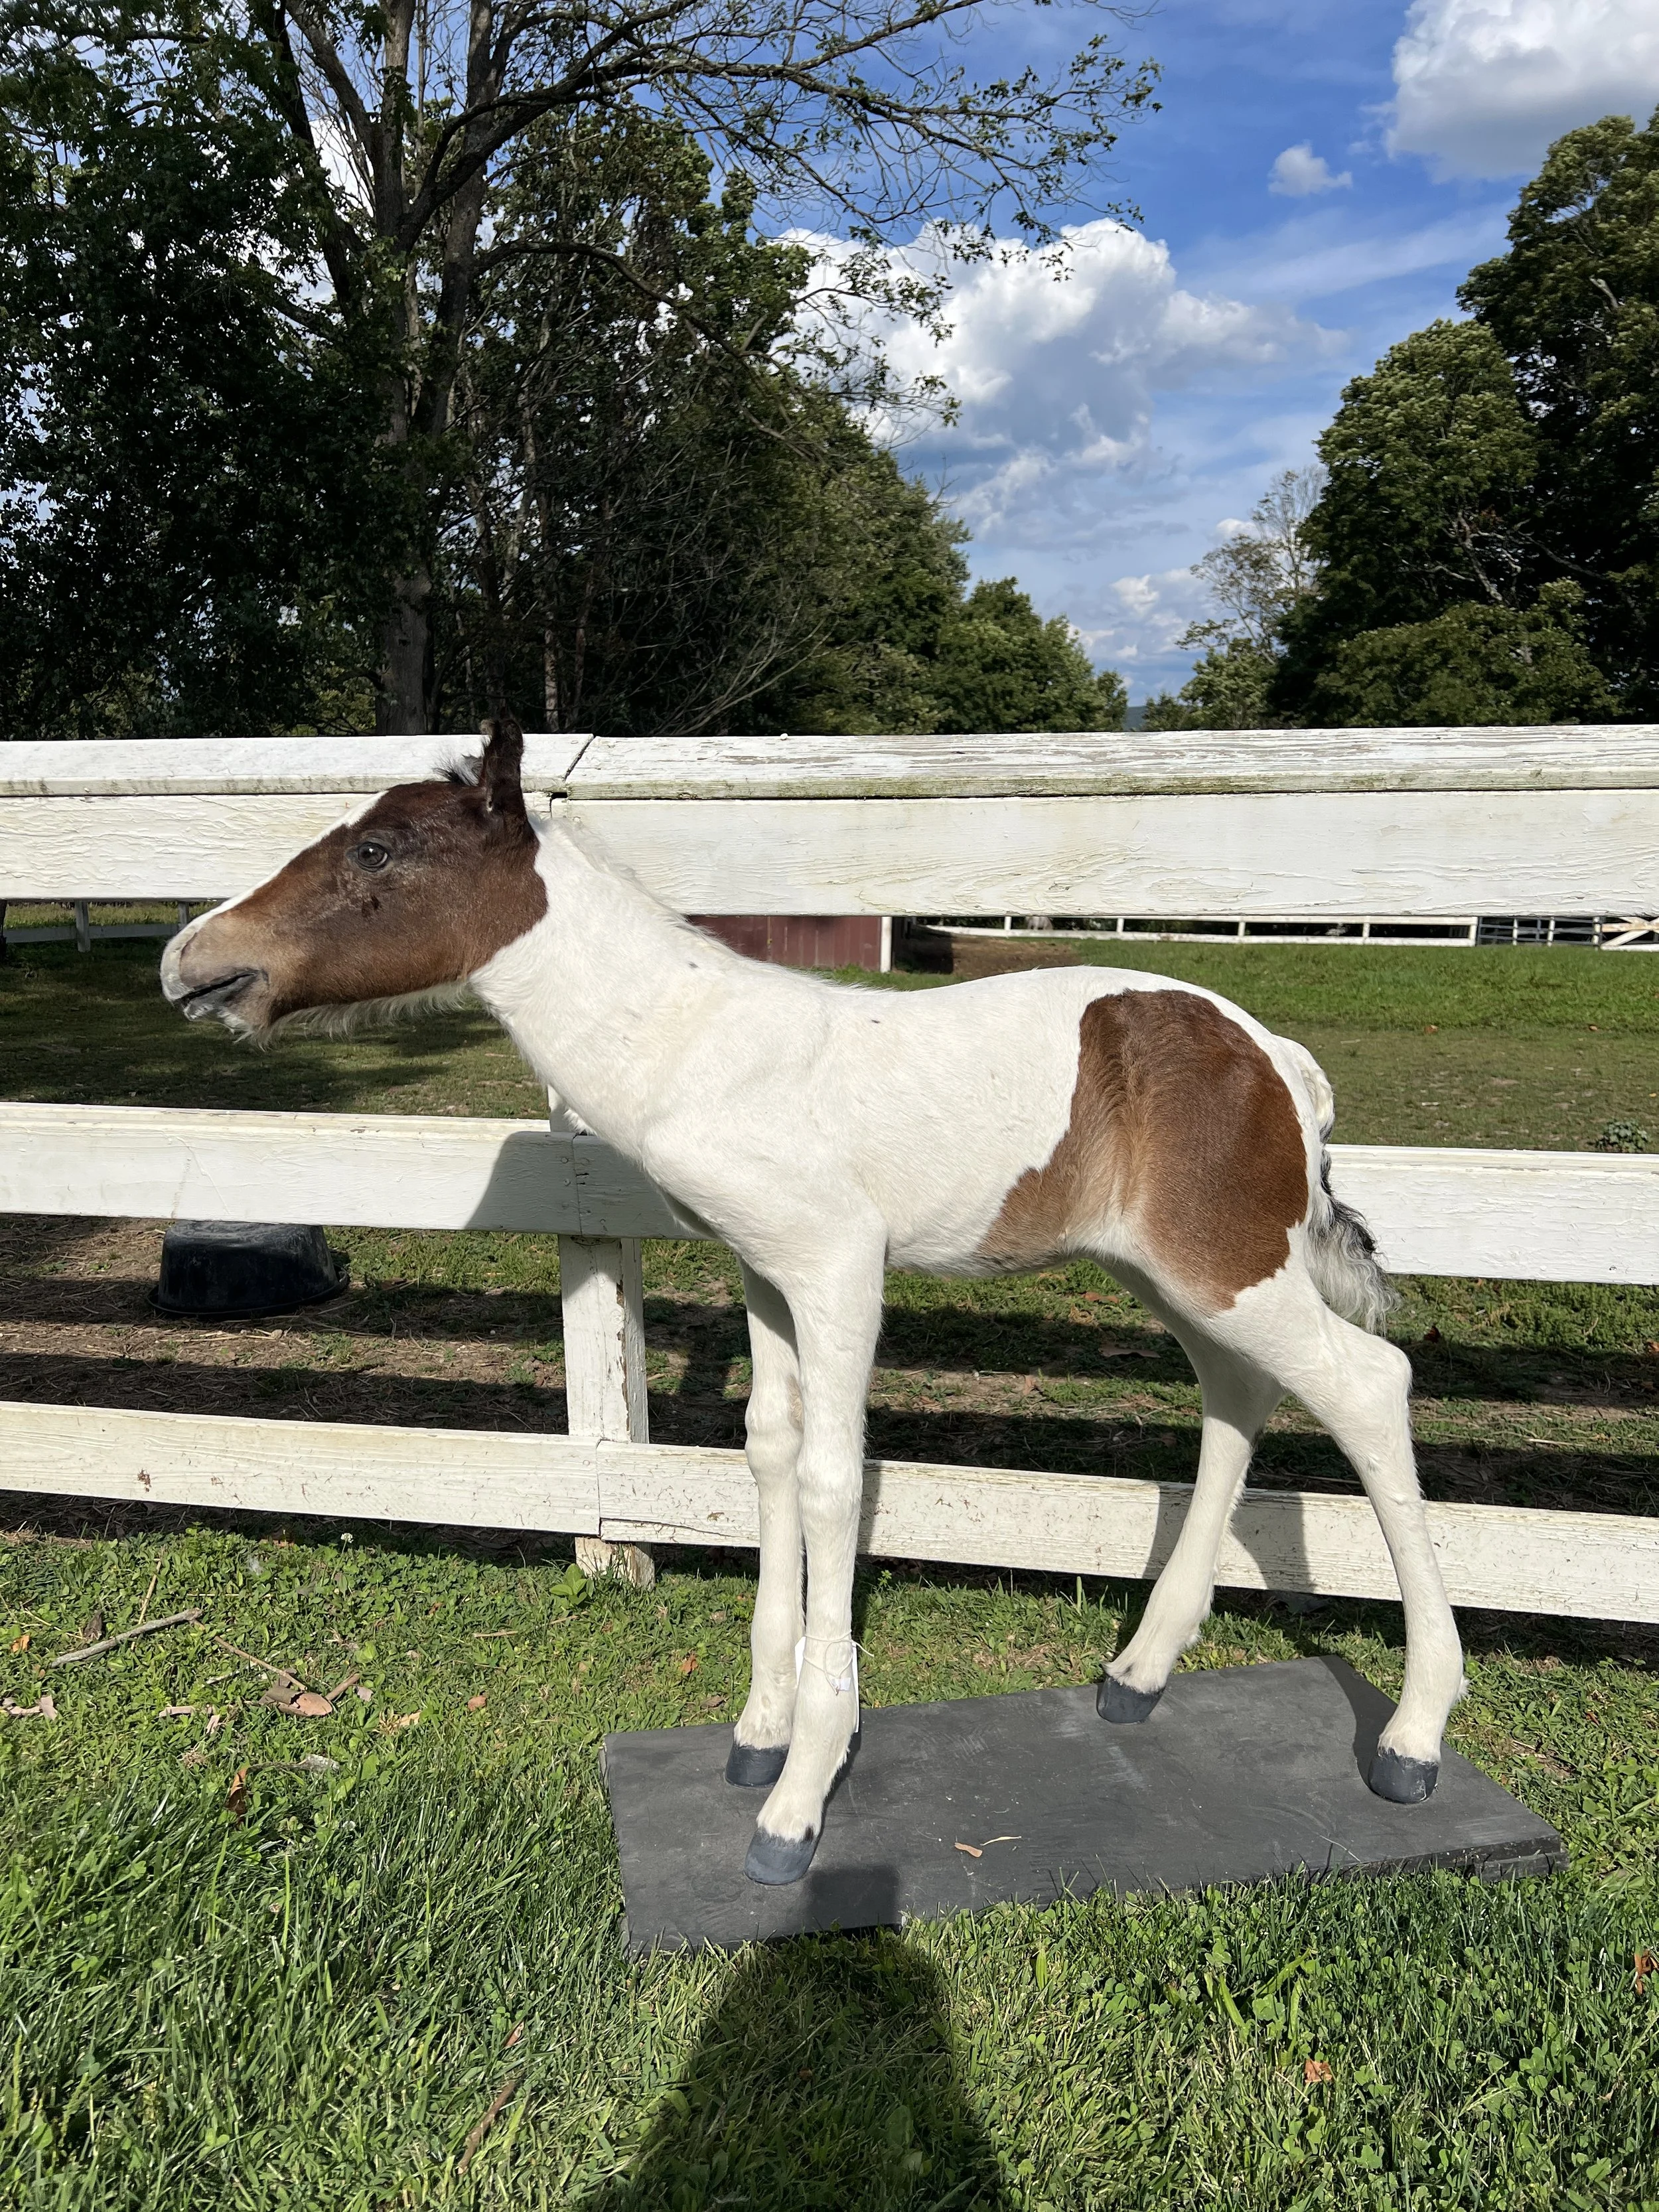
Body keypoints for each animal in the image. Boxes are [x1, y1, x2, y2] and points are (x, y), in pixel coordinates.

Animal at [161, 719, 1464, 1885]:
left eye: (380, 849)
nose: (188, 958)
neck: (691, 1047)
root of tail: (1280, 1060)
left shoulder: (840, 1267)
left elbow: (840, 1479)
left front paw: (800, 1797)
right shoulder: (768, 1273)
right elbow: (771, 1453)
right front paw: (761, 1729)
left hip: (1227, 1267)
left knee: (1366, 1385)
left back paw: (1412, 1736)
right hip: (1180, 1272)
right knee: (1238, 1393)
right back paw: (1140, 1673)